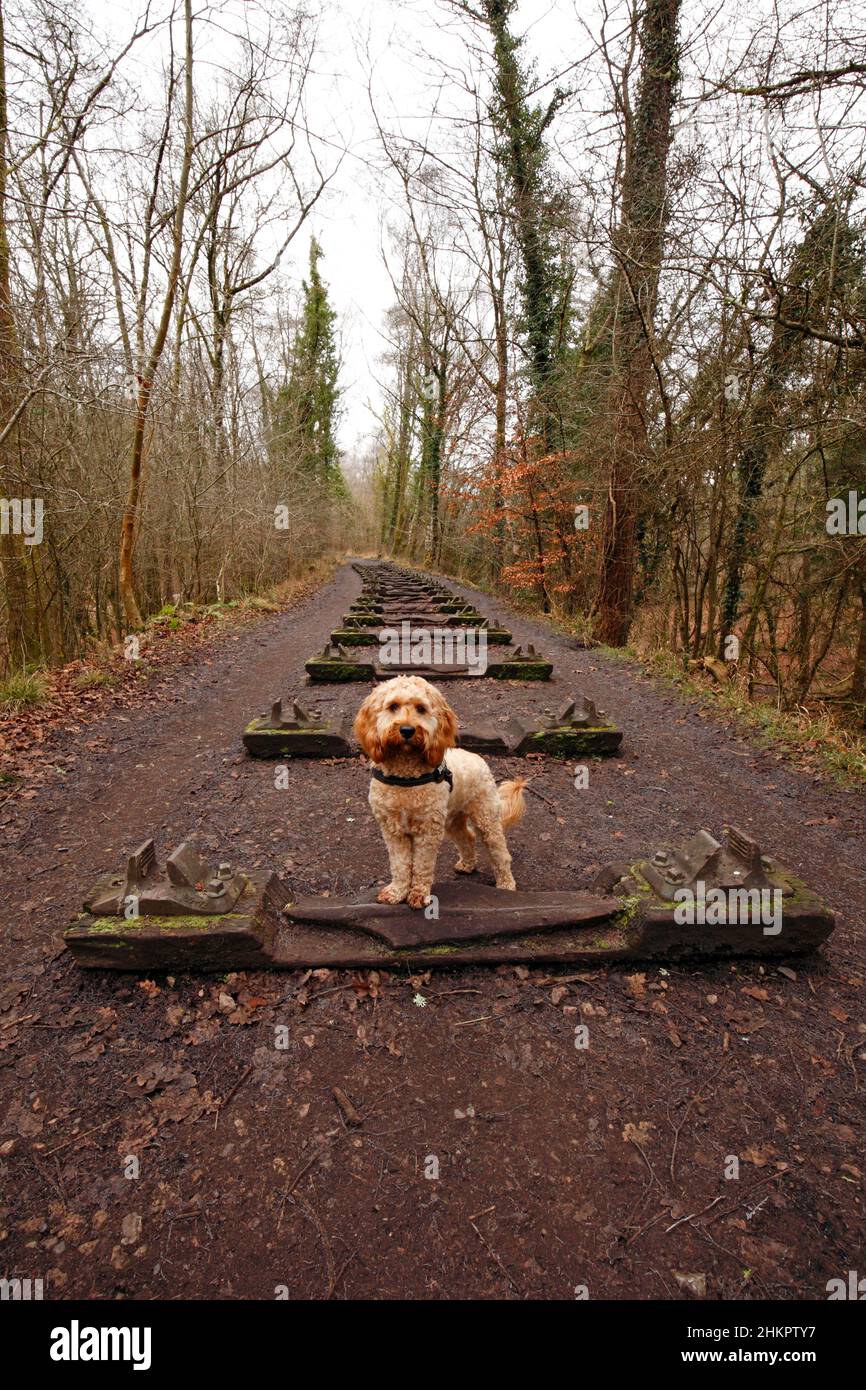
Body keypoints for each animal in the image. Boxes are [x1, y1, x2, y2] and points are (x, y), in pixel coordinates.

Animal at [354, 675, 528, 911]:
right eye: (393, 706)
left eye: (421, 708)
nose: (407, 730)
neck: (405, 778)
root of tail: (477, 758)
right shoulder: (393, 830)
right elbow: (400, 864)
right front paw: (397, 892)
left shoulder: (427, 830)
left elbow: (421, 865)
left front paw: (418, 895)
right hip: (451, 820)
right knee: (467, 837)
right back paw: (467, 864)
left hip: (485, 817)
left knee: (499, 851)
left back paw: (506, 884)